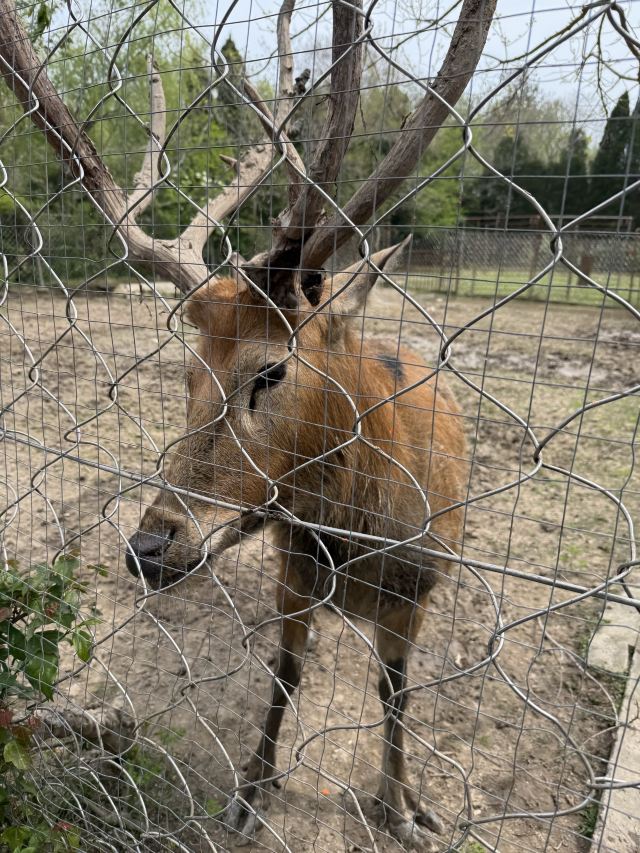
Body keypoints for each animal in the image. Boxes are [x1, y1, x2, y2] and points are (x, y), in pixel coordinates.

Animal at [124, 242, 467, 848]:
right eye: (189, 375)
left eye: (272, 371)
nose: (147, 546)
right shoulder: (294, 571)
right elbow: (285, 673)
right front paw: (251, 790)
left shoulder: (418, 590)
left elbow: (396, 694)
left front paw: (403, 810)